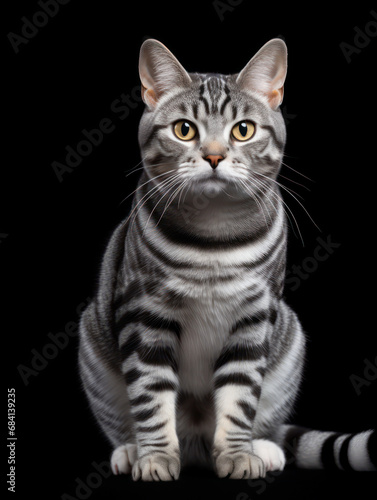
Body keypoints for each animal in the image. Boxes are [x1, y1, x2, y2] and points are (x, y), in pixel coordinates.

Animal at [78, 40, 374, 480]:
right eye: (184, 130)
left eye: (243, 130)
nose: (215, 156)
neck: (214, 235)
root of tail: (196, 443)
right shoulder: (143, 315)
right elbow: (150, 395)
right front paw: (155, 457)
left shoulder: (254, 317)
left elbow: (239, 396)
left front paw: (237, 454)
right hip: (93, 343)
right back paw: (130, 451)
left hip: (290, 338)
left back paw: (262, 448)